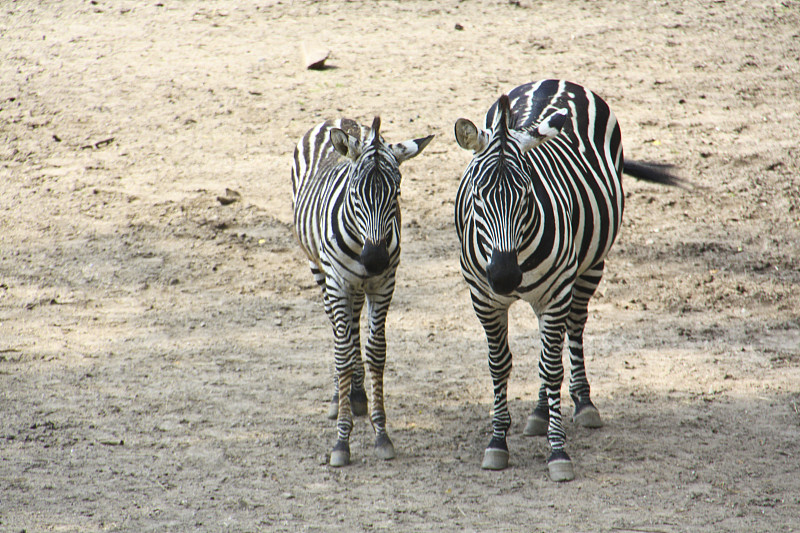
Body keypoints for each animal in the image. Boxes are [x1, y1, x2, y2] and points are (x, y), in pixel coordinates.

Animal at [292, 114, 434, 464]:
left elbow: (376, 351)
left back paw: (356, 395)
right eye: (356, 194)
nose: (375, 259)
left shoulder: (384, 283)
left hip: (359, 286)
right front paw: (341, 440)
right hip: (321, 272)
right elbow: (342, 351)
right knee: (336, 330)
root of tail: (337, 118)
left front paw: (381, 433)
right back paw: (339, 396)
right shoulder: (339, 283)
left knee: (354, 325)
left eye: (397, 193)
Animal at [454, 80, 680, 482]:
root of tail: (552, 81)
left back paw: (581, 403)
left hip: (589, 267)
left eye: (527, 195)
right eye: (478, 197)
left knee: (572, 329)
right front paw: (498, 441)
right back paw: (540, 412)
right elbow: (499, 364)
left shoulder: (556, 291)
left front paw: (557, 450)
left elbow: (551, 367)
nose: (505, 276)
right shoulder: (483, 297)